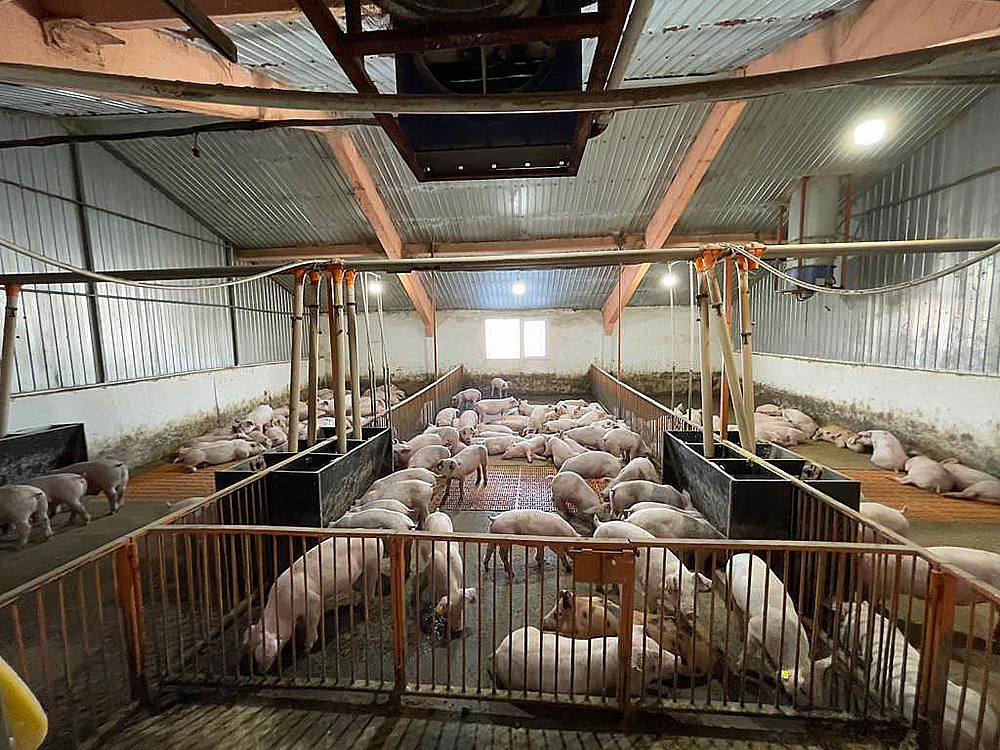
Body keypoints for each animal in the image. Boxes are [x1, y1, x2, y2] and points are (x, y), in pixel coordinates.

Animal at [247, 536, 382, 672]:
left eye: (270, 655)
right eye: (253, 653)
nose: (260, 671)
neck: (284, 609)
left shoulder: (314, 601)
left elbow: (312, 624)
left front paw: (306, 649)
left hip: (373, 563)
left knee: (371, 584)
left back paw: (368, 605)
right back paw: (359, 603)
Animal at [490, 624, 680, 700]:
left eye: (657, 643)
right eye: (655, 658)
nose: (678, 658)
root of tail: (499, 650)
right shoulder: (631, 687)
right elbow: (641, 694)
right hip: (514, 682)